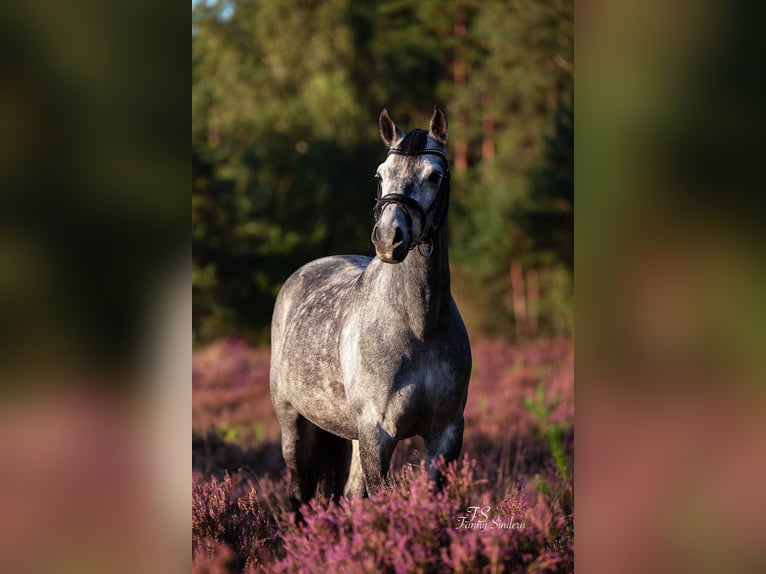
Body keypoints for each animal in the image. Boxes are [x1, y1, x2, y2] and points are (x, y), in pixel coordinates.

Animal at [269, 105, 471, 508]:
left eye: (434, 175)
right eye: (381, 174)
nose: (388, 238)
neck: (419, 328)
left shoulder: (446, 435)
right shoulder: (378, 434)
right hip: (295, 424)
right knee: (300, 493)